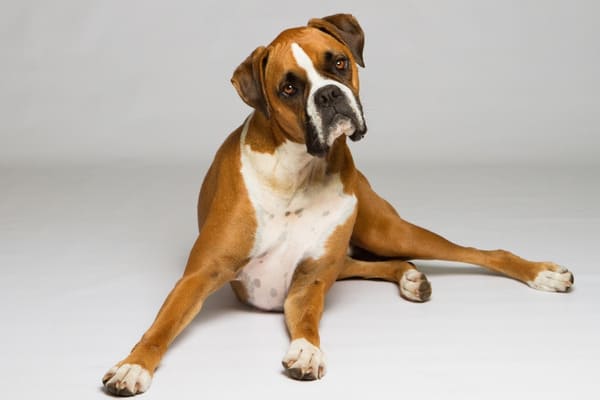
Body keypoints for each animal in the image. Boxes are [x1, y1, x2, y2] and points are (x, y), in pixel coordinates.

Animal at [102, 14, 572, 396]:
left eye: (339, 63)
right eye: (289, 88)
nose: (329, 95)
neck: (299, 173)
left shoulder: (309, 281)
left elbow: (308, 321)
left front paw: (307, 351)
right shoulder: (200, 276)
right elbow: (161, 326)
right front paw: (133, 366)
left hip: (386, 230)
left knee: (479, 252)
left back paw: (540, 273)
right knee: (375, 264)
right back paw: (410, 277)